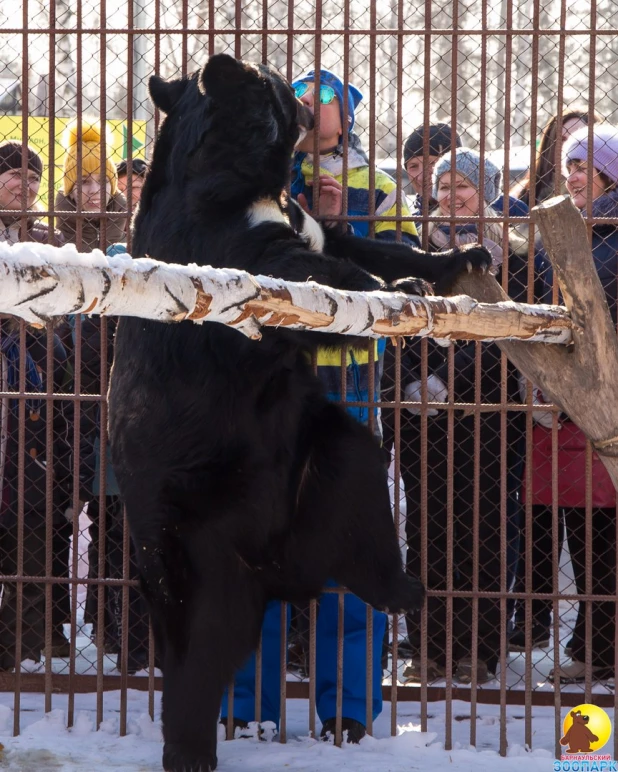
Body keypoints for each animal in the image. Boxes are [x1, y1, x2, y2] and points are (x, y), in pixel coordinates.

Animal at [108, 55, 488, 772]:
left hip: (324, 453)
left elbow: (362, 244)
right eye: (277, 83)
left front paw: (456, 258)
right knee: (194, 653)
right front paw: (401, 289)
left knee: (362, 509)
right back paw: (191, 748)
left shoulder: (303, 218)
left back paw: (405, 589)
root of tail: (276, 572)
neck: (254, 184)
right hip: (183, 536)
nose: (309, 96)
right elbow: (312, 270)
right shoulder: (226, 241)